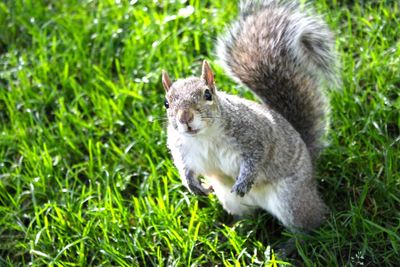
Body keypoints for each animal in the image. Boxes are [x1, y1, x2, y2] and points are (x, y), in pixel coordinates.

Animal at [161, 0, 336, 232]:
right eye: (167, 103)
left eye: (207, 94)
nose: (185, 118)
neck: (204, 136)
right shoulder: (182, 149)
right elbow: (185, 168)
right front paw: (193, 185)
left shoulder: (255, 133)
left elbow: (256, 156)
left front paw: (243, 182)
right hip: (230, 200)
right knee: (246, 215)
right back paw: (238, 229)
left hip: (292, 199)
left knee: (310, 223)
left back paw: (295, 239)